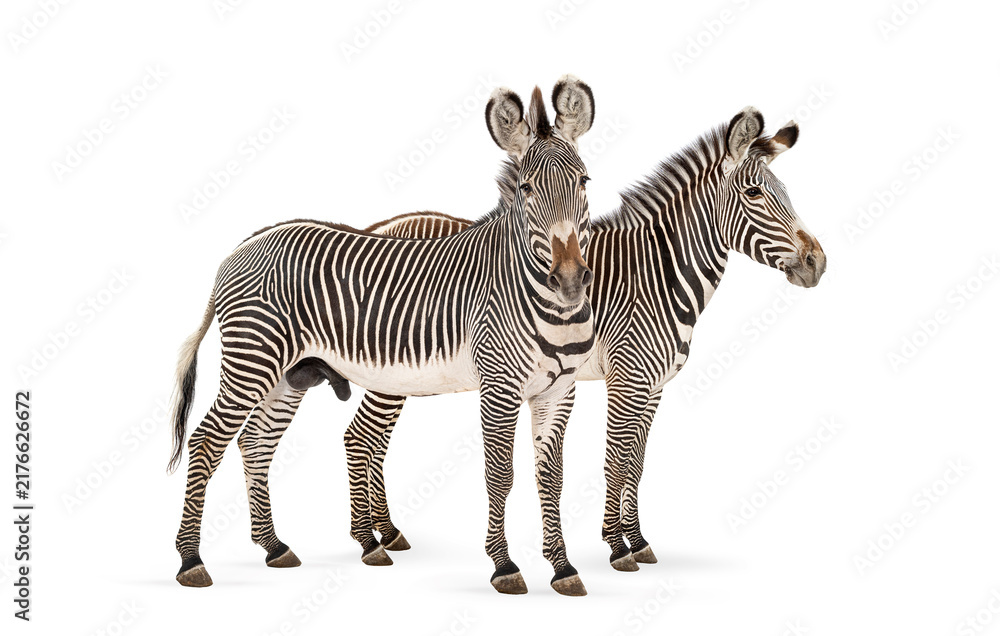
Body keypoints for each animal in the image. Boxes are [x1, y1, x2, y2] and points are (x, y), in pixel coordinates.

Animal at [167, 77, 598, 596]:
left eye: (583, 182)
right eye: (527, 188)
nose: (570, 279)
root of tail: (241, 246)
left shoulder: (559, 392)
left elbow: (550, 478)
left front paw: (563, 567)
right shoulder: (499, 386)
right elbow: (500, 474)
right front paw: (504, 566)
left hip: (287, 374)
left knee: (256, 442)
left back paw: (274, 546)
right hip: (252, 360)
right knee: (207, 441)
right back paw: (191, 559)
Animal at [254, 106, 828, 573]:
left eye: (787, 194)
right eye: (755, 194)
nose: (817, 263)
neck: (657, 274)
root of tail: (379, 226)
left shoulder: (654, 385)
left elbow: (638, 462)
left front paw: (637, 540)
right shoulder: (627, 377)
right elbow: (617, 459)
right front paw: (617, 546)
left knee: (368, 440)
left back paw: (386, 534)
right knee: (361, 438)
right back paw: (370, 540)